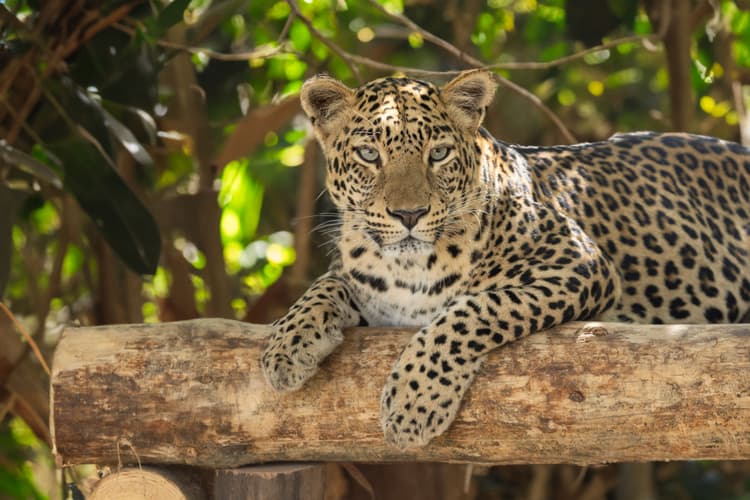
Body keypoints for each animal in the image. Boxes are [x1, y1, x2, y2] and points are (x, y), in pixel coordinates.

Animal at [261, 69, 750, 449]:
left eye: (438, 154)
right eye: (368, 154)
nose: (409, 215)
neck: (407, 270)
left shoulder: (579, 262)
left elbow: (474, 309)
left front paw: (413, 403)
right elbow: (326, 286)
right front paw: (285, 347)